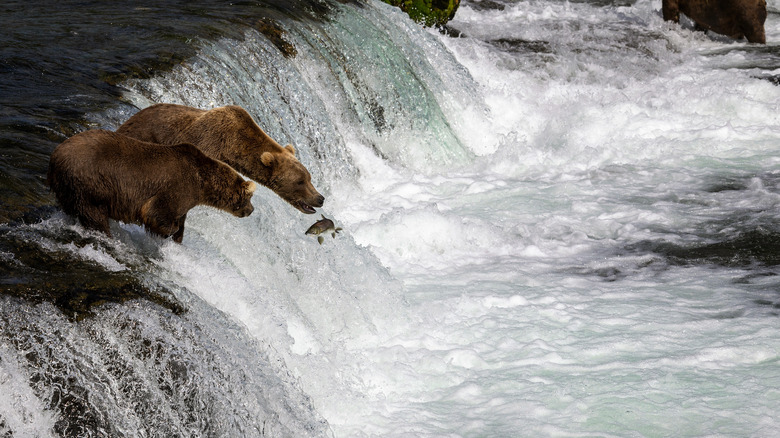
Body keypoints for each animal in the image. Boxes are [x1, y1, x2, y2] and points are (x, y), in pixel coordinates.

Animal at [46, 128, 256, 245]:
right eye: (249, 198)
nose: (252, 210)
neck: (202, 184)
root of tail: (55, 155)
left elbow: (181, 218)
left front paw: (178, 236)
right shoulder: (178, 188)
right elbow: (156, 213)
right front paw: (168, 232)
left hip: (68, 188)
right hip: (91, 184)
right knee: (94, 215)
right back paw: (106, 235)